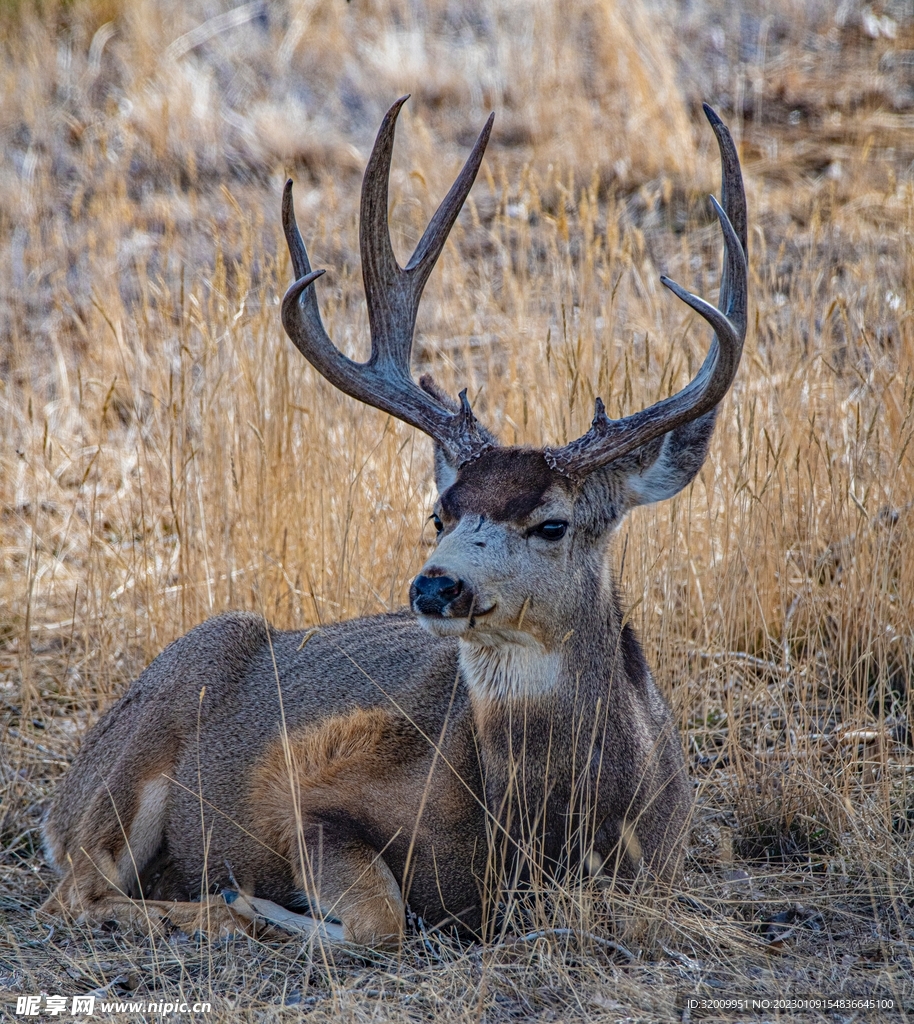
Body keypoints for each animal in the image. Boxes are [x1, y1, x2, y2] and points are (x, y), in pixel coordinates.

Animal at [41, 98, 747, 948]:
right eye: (440, 511)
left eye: (552, 523)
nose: (436, 587)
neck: (539, 836)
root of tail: (58, 802)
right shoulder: (312, 795)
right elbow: (382, 919)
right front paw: (256, 903)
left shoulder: (661, 867)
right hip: (145, 737)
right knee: (74, 895)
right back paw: (221, 908)